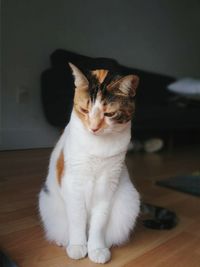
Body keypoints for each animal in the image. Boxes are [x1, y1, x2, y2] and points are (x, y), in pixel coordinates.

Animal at [38, 63, 140, 266]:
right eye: (84, 110)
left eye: (109, 113)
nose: (93, 128)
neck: (98, 146)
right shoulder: (73, 182)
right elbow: (77, 218)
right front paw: (78, 246)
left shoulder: (108, 185)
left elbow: (99, 223)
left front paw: (97, 249)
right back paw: (64, 241)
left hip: (130, 201)